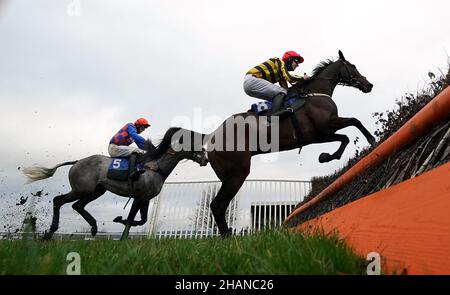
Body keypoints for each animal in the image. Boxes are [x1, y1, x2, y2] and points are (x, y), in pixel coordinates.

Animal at [22, 128, 208, 240]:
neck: (156, 167)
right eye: (196, 145)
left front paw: (120, 219)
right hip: (81, 189)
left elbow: (142, 220)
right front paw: (123, 235)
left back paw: (94, 227)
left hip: (97, 191)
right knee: (59, 201)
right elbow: (132, 219)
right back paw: (50, 232)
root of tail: (77, 162)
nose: (206, 160)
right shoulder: (139, 197)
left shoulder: (145, 199)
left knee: (77, 206)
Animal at [207, 51, 376, 238]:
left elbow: (345, 138)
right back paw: (228, 238)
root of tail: (211, 138)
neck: (315, 94)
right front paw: (372, 139)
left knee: (218, 205)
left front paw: (325, 156)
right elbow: (355, 121)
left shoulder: (318, 135)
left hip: (228, 176)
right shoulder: (326, 125)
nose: (369, 85)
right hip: (237, 174)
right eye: (353, 66)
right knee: (218, 205)